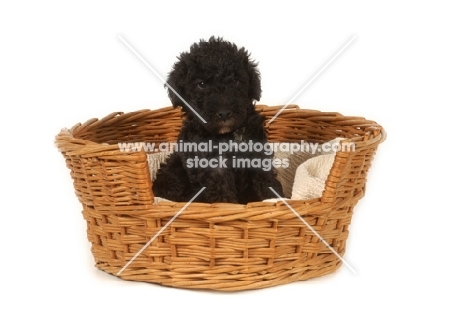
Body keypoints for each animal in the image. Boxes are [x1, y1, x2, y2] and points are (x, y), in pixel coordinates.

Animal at [154, 37, 286, 203]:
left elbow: (267, 181)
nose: (224, 113)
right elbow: (222, 193)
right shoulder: (214, 165)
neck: (229, 135)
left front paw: (275, 199)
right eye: (201, 84)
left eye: (235, 81)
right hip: (173, 170)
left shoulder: (258, 153)